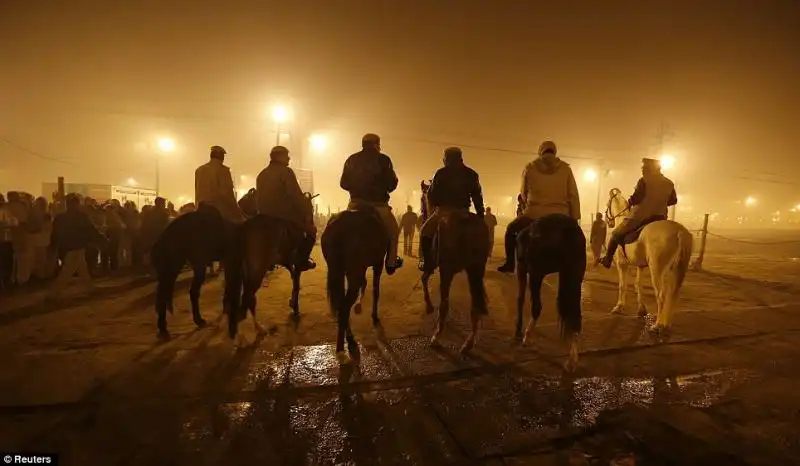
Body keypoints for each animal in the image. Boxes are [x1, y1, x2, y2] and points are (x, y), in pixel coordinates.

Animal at [324, 206, 390, 366]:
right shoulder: (378, 263)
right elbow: (375, 290)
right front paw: (374, 315)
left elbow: (365, 284)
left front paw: (360, 306)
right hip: (355, 269)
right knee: (344, 306)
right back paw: (341, 349)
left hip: (337, 269)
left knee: (342, 304)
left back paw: (348, 339)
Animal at [516, 214, 584, 372]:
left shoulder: (522, 269)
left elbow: (520, 298)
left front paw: (518, 330)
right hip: (574, 274)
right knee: (574, 312)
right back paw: (572, 360)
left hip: (536, 273)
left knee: (536, 307)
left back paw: (527, 337)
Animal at [604, 188, 692, 332]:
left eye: (607, 204)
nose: (609, 221)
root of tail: (679, 231)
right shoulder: (641, 266)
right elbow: (638, 284)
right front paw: (641, 310)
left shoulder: (622, 264)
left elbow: (623, 285)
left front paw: (619, 307)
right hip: (676, 269)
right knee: (673, 294)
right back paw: (666, 323)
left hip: (656, 269)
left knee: (661, 295)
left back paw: (657, 325)